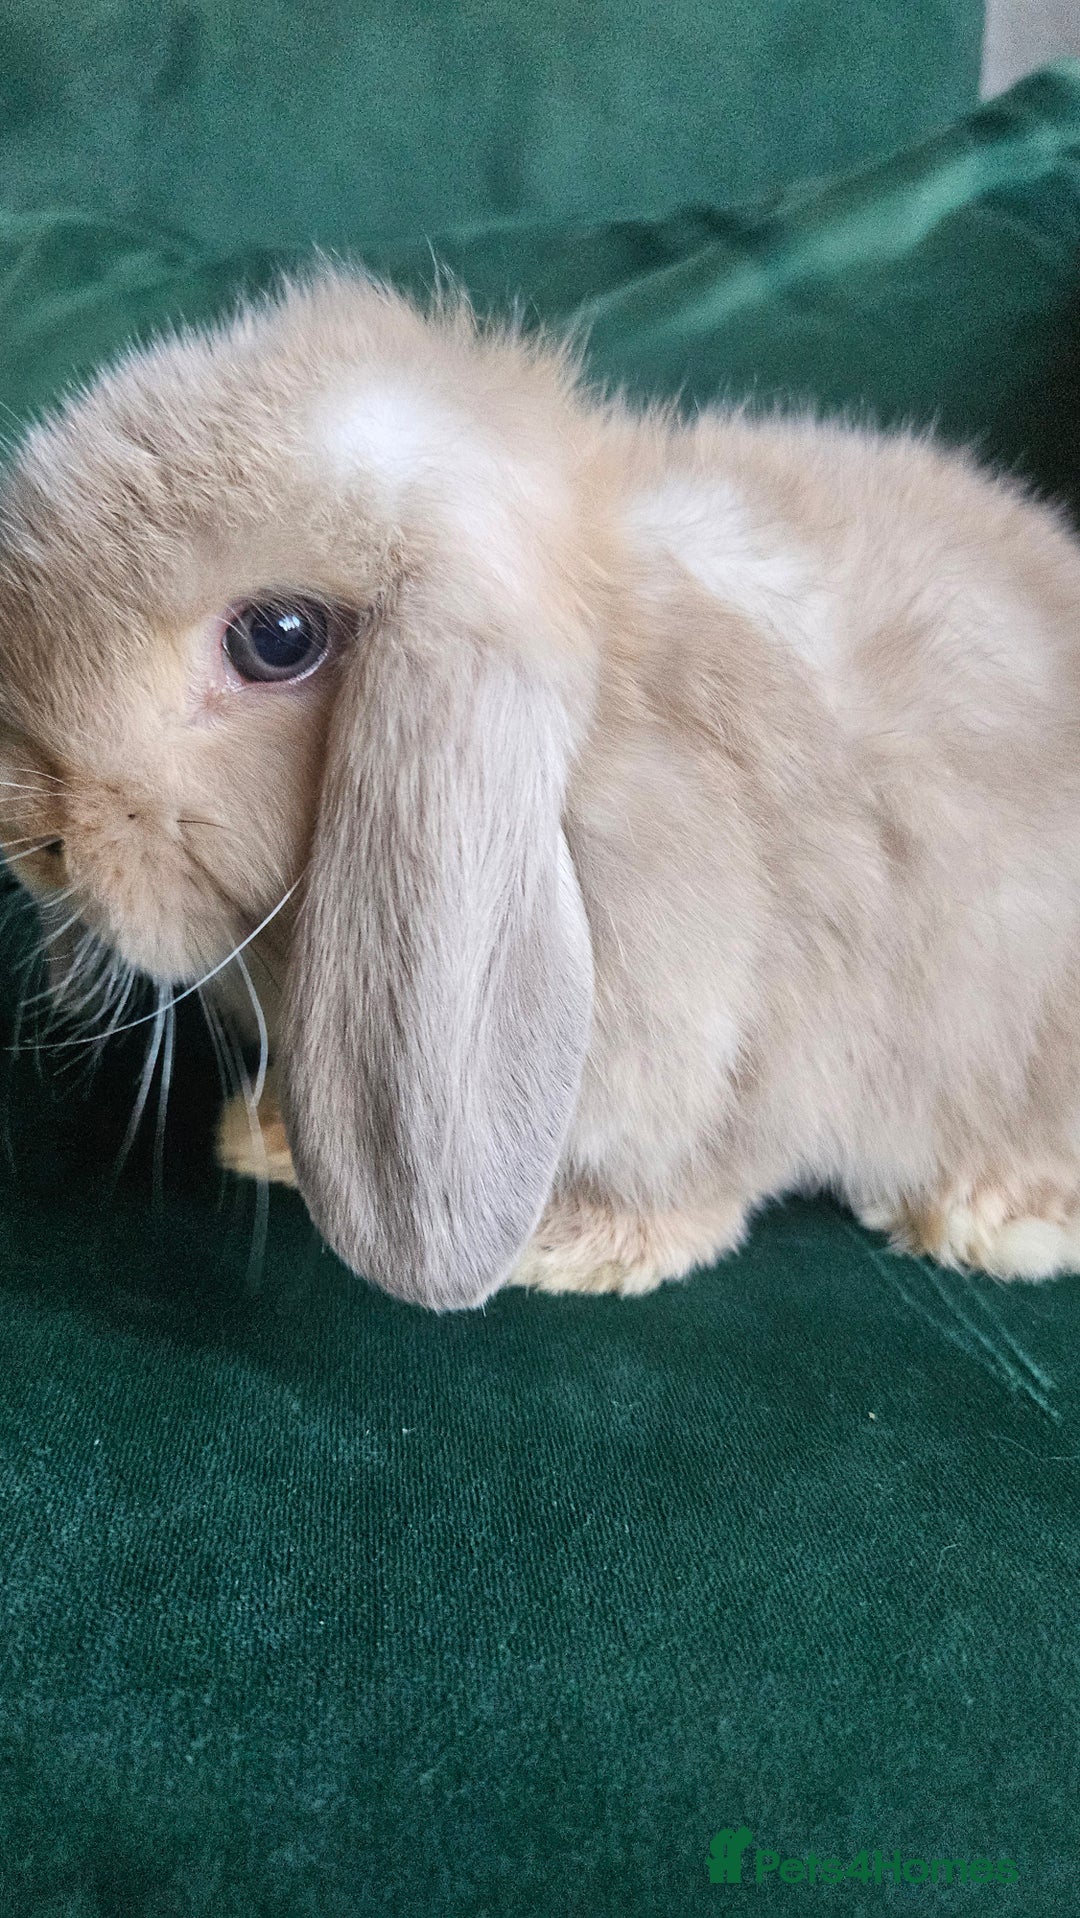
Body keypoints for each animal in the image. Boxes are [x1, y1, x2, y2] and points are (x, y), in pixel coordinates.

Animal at [2, 267, 1080, 1310]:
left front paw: (574, 1248)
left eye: (277, 638)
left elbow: (687, 1194)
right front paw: (265, 1134)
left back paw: (996, 1216)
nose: (31, 837)